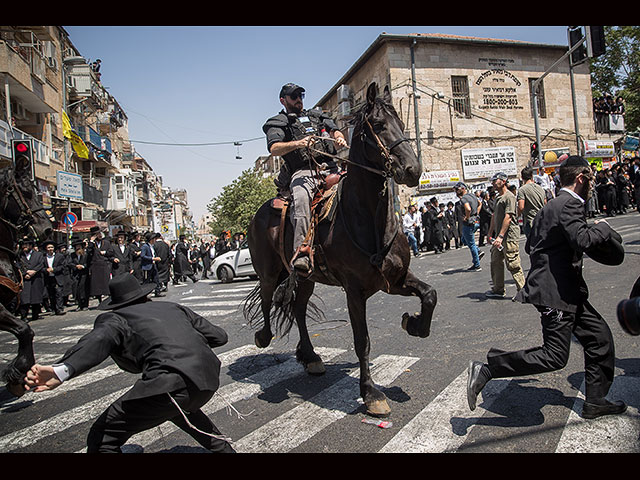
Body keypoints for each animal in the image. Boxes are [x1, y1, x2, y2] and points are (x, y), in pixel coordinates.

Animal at [244, 82, 436, 416]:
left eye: (402, 122)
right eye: (379, 125)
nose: (413, 170)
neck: (368, 221)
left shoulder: (396, 279)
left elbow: (429, 295)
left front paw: (414, 324)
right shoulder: (354, 291)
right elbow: (362, 341)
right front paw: (371, 393)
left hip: (305, 278)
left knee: (298, 309)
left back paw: (310, 356)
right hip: (268, 273)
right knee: (268, 301)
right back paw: (264, 337)